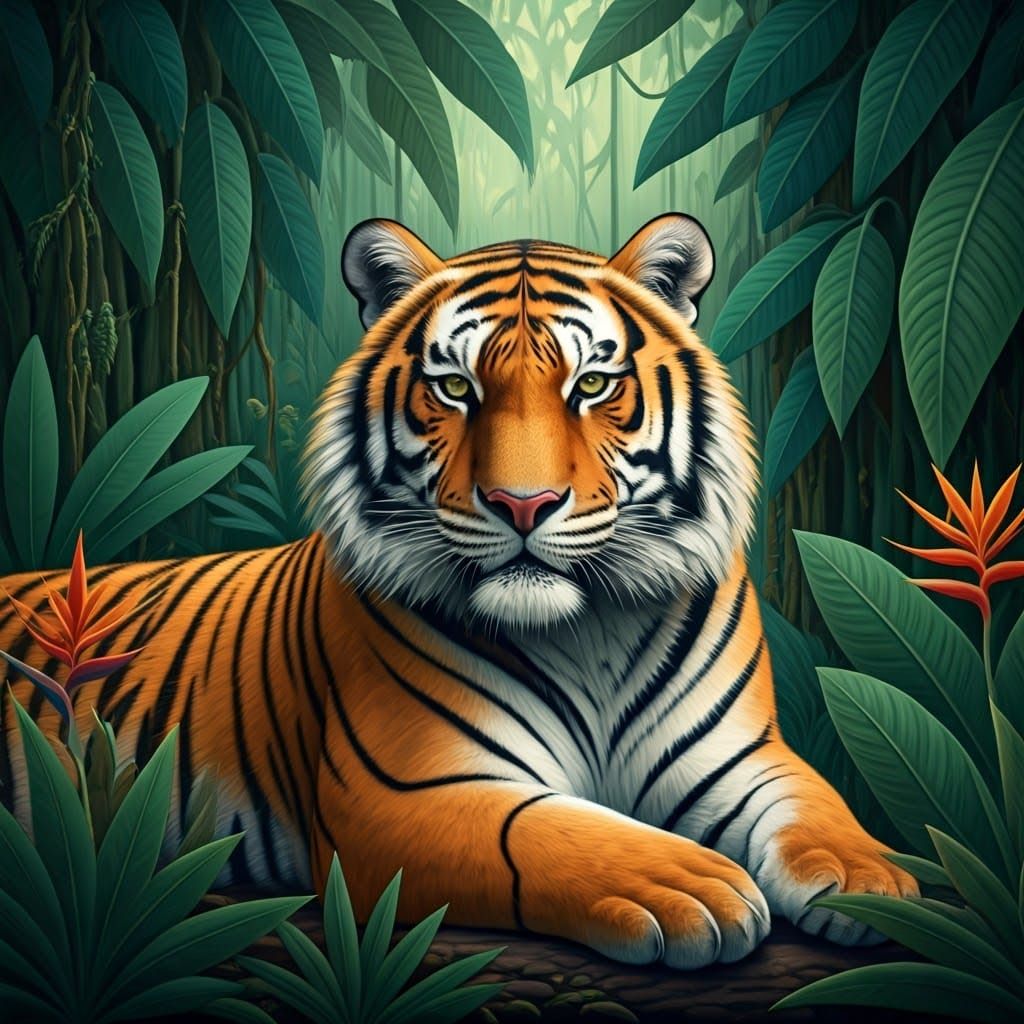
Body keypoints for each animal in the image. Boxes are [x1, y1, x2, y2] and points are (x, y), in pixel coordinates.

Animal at [0, 214, 916, 969]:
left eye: (591, 386)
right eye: (454, 388)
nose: (523, 504)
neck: (588, 633)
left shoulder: (741, 756)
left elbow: (814, 802)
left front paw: (872, 877)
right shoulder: (404, 795)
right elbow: (543, 831)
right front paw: (688, 885)